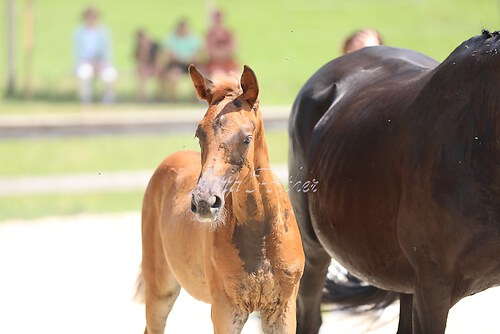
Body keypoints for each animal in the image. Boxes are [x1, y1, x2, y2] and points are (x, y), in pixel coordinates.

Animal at [135, 64, 304, 332]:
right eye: (199, 134)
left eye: (246, 138)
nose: (204, 202)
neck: (261, 234)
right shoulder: (225, 311)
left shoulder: (283, 310)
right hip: (160, 289)